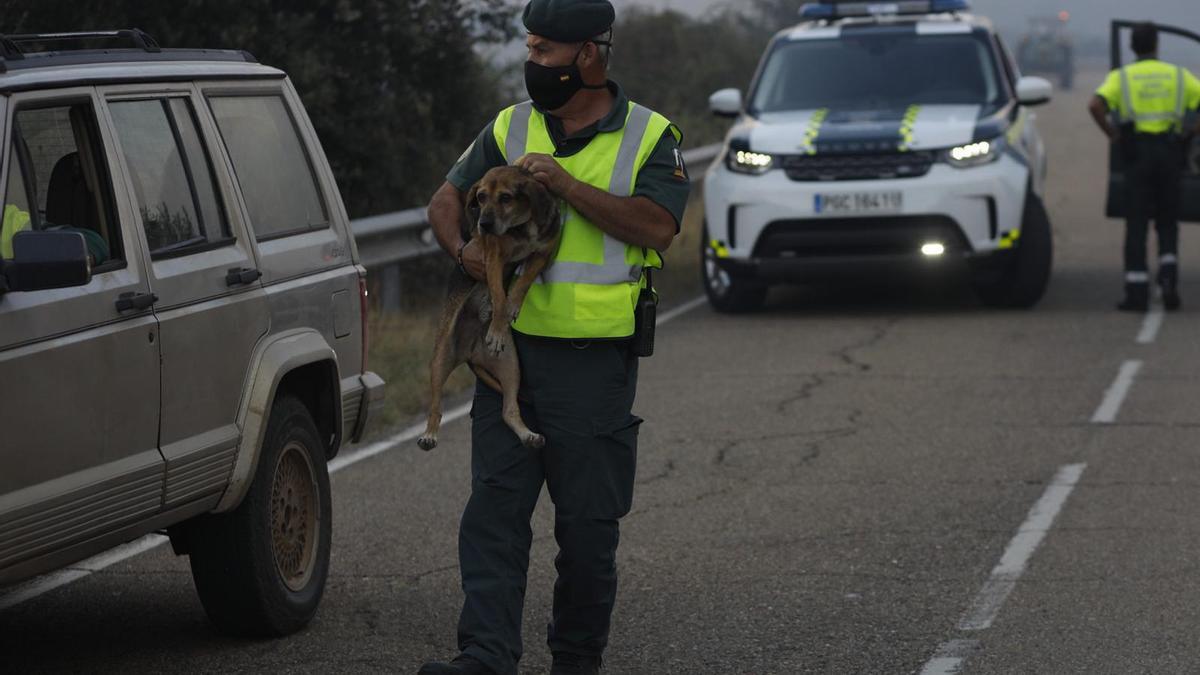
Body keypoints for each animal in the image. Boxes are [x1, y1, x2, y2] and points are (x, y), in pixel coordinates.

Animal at [417, 164, 561, 449]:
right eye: (481, 197)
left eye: (506, 198)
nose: (483, 224)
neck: (521, 228)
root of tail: (470, 353)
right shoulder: (492, 259)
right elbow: (498, 295)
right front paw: (497, 325)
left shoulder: (541, 253)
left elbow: (522, 283)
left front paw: (513, 305)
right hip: (440, 359)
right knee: (436, 406)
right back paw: (429, 434)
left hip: (511, 367)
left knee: (509, 410)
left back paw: (529, 435)